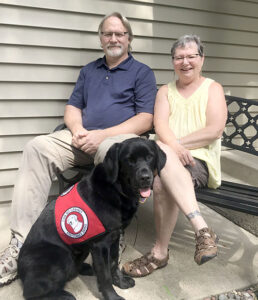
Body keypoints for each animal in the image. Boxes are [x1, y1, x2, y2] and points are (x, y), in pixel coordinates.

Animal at [18, 138, 167, 300]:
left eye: (150, 157)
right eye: (129, 160)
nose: (145, 178)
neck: (116, 189)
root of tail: (20, 271)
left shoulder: (115, 237)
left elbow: (113, 263)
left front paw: (120, 282)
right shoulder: (100, 245)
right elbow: (105, 275)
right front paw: (112, 296)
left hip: (81, 250)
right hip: (61, 256)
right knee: (32, 292)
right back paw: (63, 295)